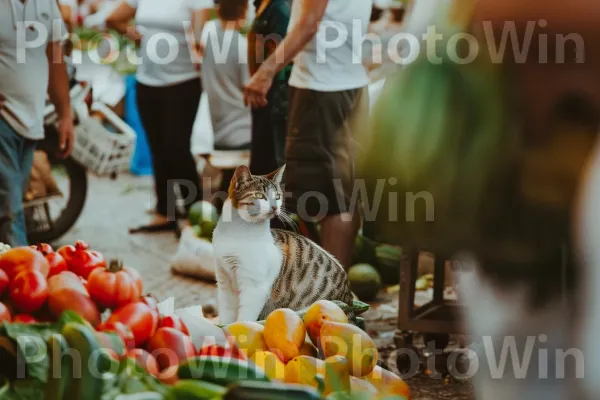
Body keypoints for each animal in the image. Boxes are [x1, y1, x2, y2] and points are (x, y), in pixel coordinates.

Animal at [212, 164, 354, 324]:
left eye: (277, 197)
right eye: (259, 196)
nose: (275, 207)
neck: (237, 231)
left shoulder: (254, 288)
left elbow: (244, 319)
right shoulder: (224, 282)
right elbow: (226, 315)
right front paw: (222, 328)